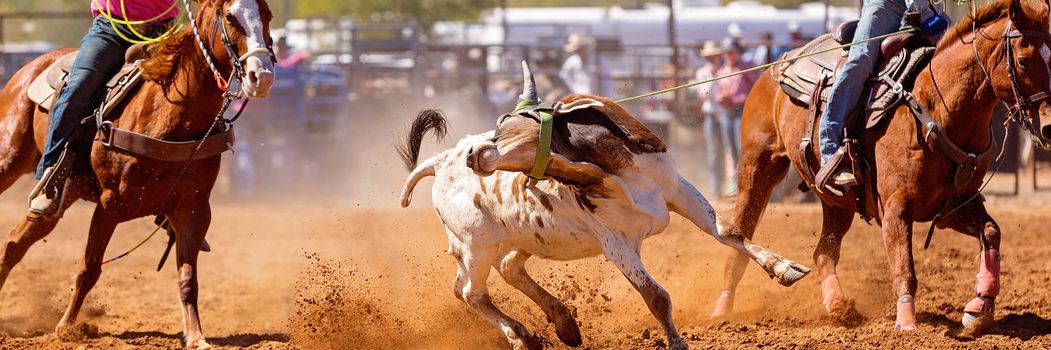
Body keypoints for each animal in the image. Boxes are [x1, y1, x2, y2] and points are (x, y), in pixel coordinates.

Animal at [0, 0, 275, 344]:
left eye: (267, 16)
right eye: (229, 17)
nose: (261, 77)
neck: (172, 116)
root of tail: (30, 67)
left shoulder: (194, 209)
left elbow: (188, 278)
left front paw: (196, 336)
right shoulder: (109, 205)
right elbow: (90, 268)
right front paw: (66, 328)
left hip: (65, 193)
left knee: (15, 243)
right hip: (10, 158)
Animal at [397, 63, 807, 348]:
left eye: (509, 130)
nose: (475, 154)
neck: (615, 169)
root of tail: (440, 161)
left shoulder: (678, 190)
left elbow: (729, 232)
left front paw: (784, 267)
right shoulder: (615, 242)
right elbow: (656, 296)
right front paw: (676, 342)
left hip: (519, 237)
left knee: (507, 268)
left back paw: (563, 322)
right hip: (475, 245)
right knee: (471, 292)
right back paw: (522, 335)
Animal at [714, 0, 1051, 336]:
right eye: (1023, 60)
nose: (1048, 128)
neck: (936, 108)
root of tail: (777, 65)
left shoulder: (954, 206)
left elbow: (991, 232)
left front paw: (980, 307)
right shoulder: (895, 208)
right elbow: (905, 268)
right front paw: (907, 324)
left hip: (837, 201)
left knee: (823, 252)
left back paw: (838, 306)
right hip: (757, 168)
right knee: (738, 241)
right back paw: (722, 310)